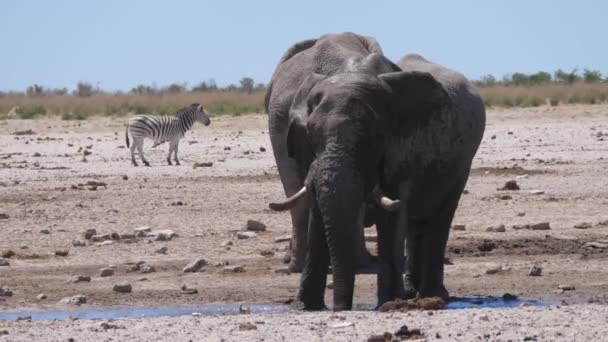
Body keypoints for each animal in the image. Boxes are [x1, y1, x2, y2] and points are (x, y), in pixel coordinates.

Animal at [266, 33, 484, 312]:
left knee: (439, 219)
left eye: (372, 138)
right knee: (416, 226)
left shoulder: (404, 145)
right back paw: (413, 292)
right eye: (311, 134)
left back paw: (433, 296)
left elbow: (392, 212)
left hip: (461, 165)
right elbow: (317, 208)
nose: (342, 307)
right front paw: (305, 307)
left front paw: (389, 304)